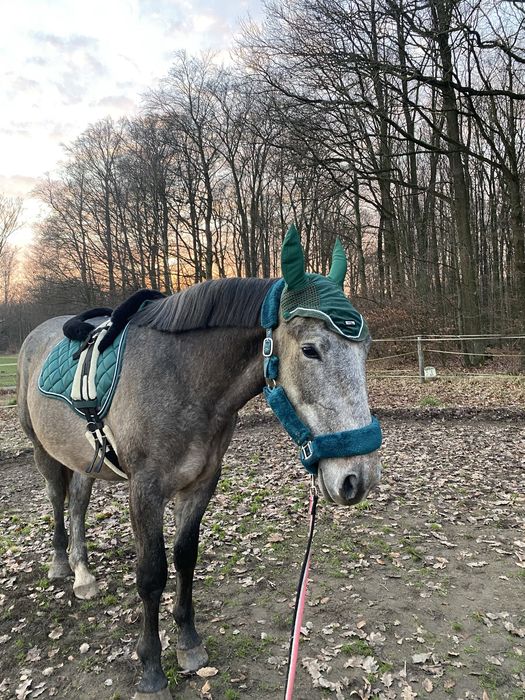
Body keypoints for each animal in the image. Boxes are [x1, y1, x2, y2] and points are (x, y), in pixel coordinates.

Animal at [16, 226, 382, 698]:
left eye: (366, 348)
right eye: (310, 350)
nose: (359, 477)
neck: (183, 378)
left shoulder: (201, 483)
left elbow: (185, 557)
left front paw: (188, 644)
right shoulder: (145, 490)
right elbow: (151, 574)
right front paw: (152, 669)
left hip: (84, 459)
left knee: (77, 502)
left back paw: (83, 573)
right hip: (43, 451)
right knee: (57, 500)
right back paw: (62, 564)